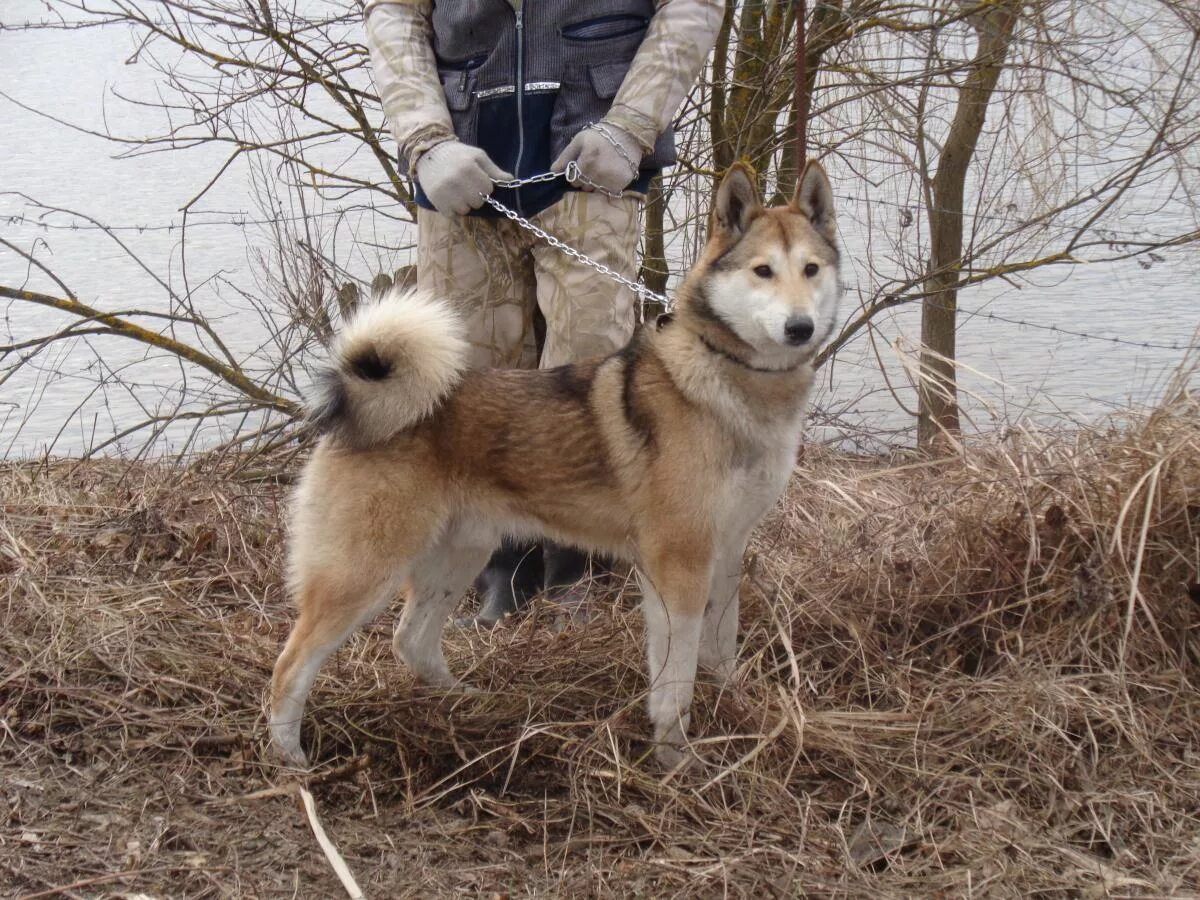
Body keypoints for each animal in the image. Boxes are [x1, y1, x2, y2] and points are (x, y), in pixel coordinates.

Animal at [267, 160, 840, 768]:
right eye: (762, 271)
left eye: (810, 269)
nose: (800, 328)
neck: (724, 380)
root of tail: (357, 399)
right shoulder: (679, 565)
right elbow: (676, 680)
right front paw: (676, 757)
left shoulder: (725, 553)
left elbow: (717, 648)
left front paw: (730, 703)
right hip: (362, 571)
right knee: (291, 665)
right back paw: (291, 759)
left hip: (460, 552)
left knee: (411, 640)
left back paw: (467, 701)